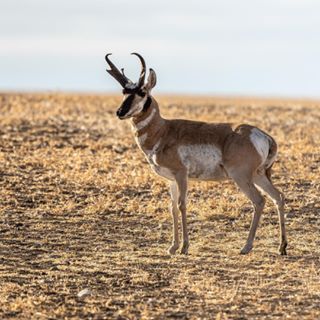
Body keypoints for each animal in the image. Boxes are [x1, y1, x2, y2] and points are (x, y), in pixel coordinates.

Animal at [105, 53, 288, 256]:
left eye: (142, 93)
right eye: (124, 92)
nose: (120, 112)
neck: (163, 131)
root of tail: (261, 135)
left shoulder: (181, 175)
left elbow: (182, 205)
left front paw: (184, 247)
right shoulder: (171, 180)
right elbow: (172, 208)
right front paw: (173, 247)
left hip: (241, 177)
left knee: (259, 201)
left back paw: (246, 247)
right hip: (258, 176)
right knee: (278, 197)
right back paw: (282, 246)